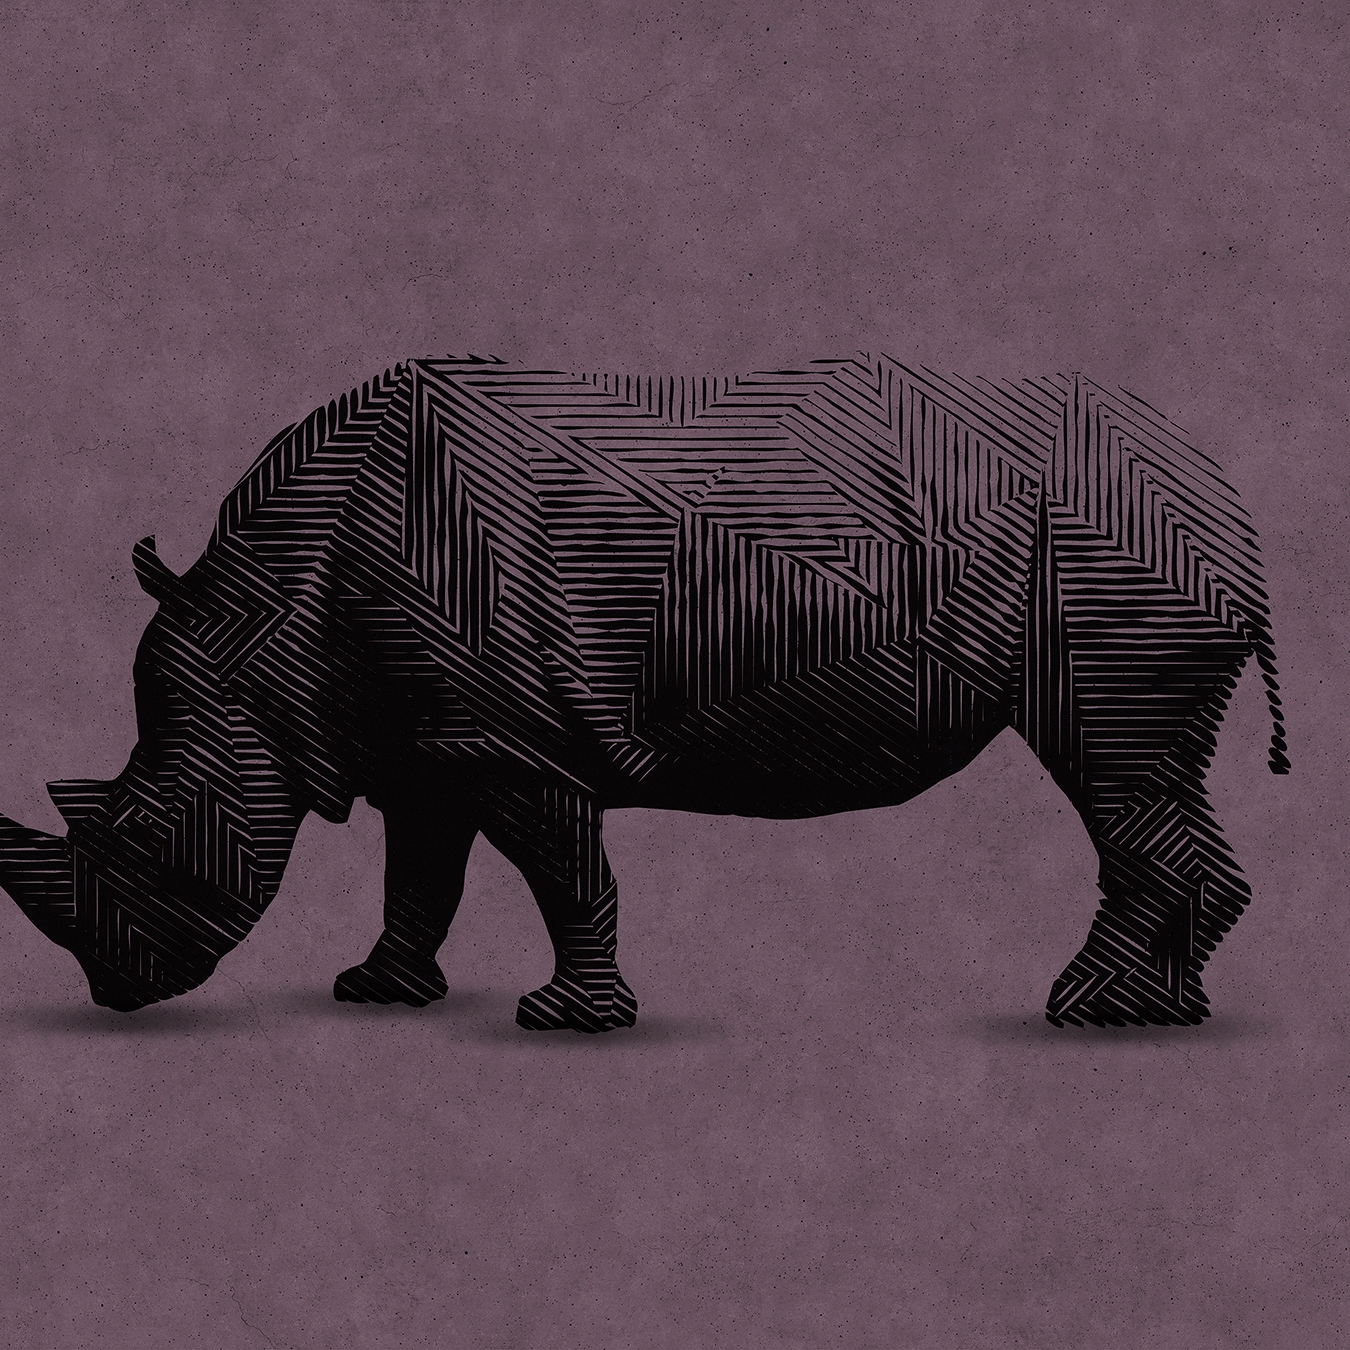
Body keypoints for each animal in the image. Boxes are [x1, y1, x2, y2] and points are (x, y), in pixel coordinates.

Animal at [0, 357, 1287, 1029]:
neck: (262, 633)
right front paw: (375, 994)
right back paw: (1166, 1010)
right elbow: (420, 870)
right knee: (1152, 778)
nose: (114, 993)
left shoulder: (511, 740)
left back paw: (1085, 1008)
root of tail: (1220, 482)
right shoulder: (425, 739)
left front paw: (564, 1021)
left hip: (1110, 555)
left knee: (1113, 769)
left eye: (145, 832)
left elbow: (564, 870)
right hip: (1119, 544)